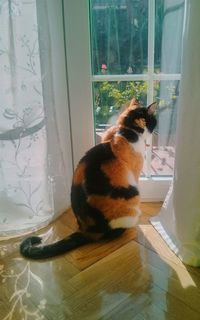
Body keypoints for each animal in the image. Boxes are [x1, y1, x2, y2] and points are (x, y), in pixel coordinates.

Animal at [20, 101, 158, 258]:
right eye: (153, 120)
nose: (154, 129)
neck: (125, 130)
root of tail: (87, 230)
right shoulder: (135, 173)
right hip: (133, 198)